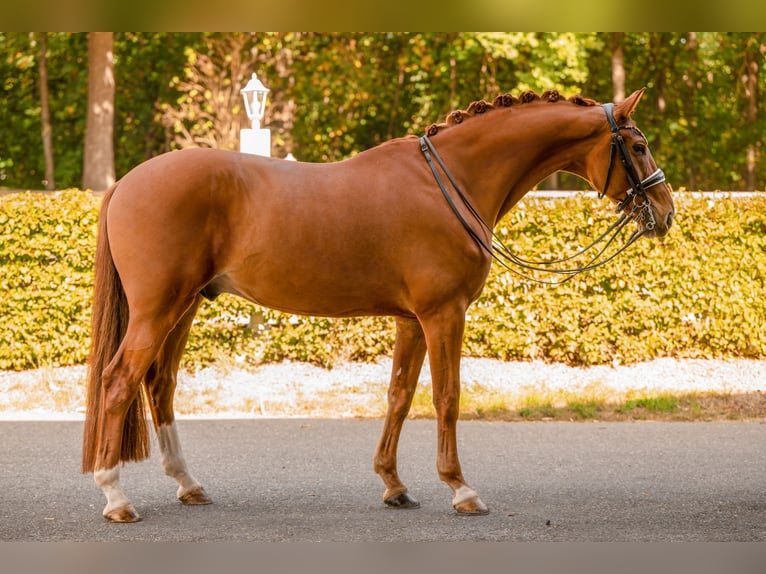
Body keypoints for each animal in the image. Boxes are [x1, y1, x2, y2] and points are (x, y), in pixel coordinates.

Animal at [82, 87, 675, 522]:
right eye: (638, 145)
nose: (666, 212)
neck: (449, 181)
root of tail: (128, 181)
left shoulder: (411, 321)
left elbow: (399, 397)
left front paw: (394, 485)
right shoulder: (443, 315)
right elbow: (446, 398)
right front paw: (460, 489)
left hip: (183, 308)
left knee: (159, 385)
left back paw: (188, 484)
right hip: (158, 309)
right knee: (119, 381)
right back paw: (115, 497)